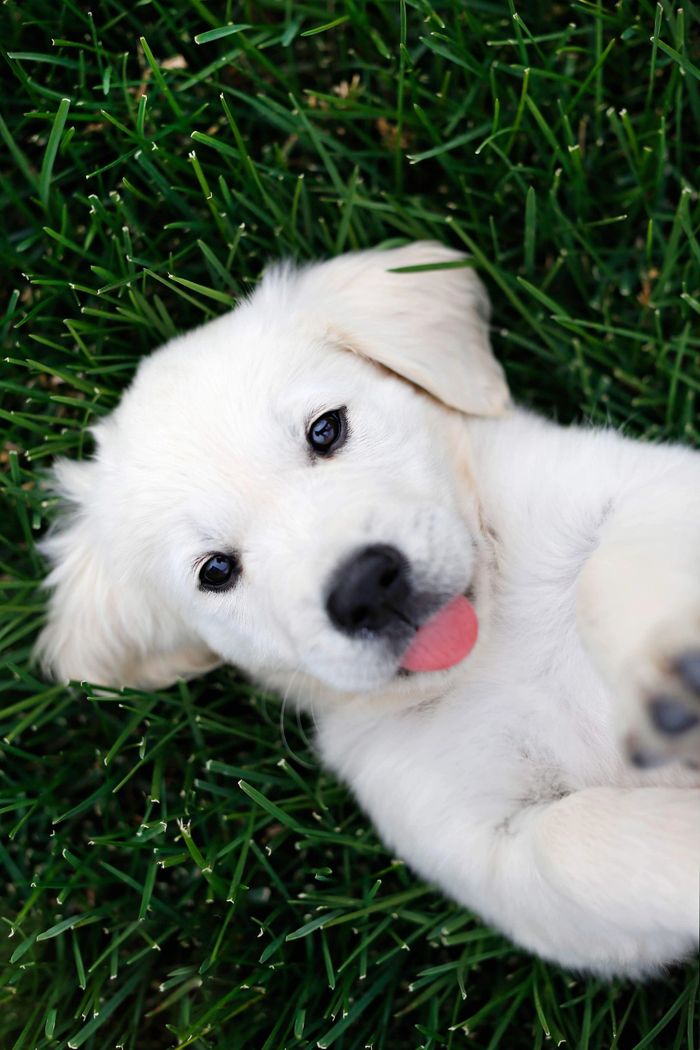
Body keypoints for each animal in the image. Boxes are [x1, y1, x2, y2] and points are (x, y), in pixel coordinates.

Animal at [36, 243, 700, 974]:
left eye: (327, 430)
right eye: (216, 571)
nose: (365, 588)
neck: (495, 644)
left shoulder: (641, 484)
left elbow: (607, 571)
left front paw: (667, 671)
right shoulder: (490, 856)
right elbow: (572, 845)